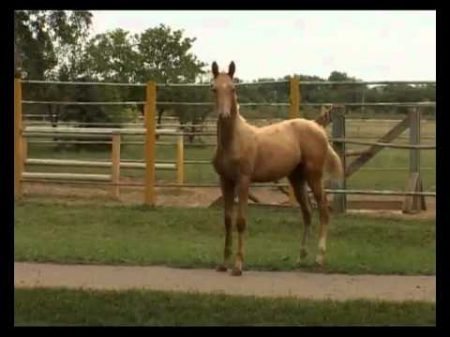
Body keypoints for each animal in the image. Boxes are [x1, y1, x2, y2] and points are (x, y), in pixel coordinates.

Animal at [211, 61, 342, 276]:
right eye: (213, 88)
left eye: (233, 88)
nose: (224, 114)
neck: (234, 140)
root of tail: (318, 129)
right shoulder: (225, 180)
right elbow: (227, 220)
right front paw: (223, 264)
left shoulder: (244, 180)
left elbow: (240, 221)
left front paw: (238, 266)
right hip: (296, 178)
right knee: (307, 212)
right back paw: (300, 258)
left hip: (314, 175)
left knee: (324, 209)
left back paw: (319, 258)